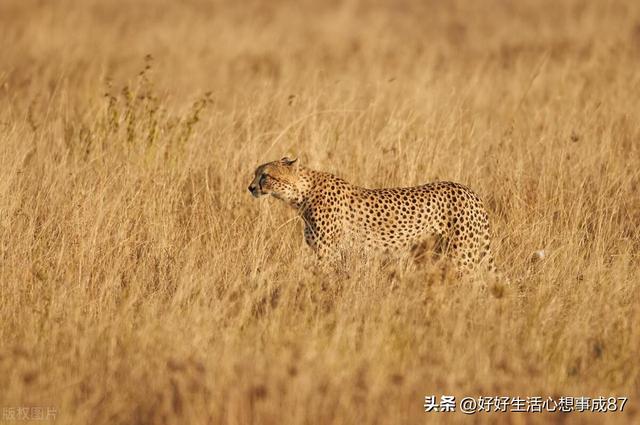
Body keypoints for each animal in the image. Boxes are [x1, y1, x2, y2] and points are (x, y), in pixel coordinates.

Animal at [248, 157, 498, 274]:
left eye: (265, 176)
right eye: (256, 174)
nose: (250, 188)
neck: (302, 194)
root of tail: (470, 192)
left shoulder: (327, 254)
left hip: (462, 257)